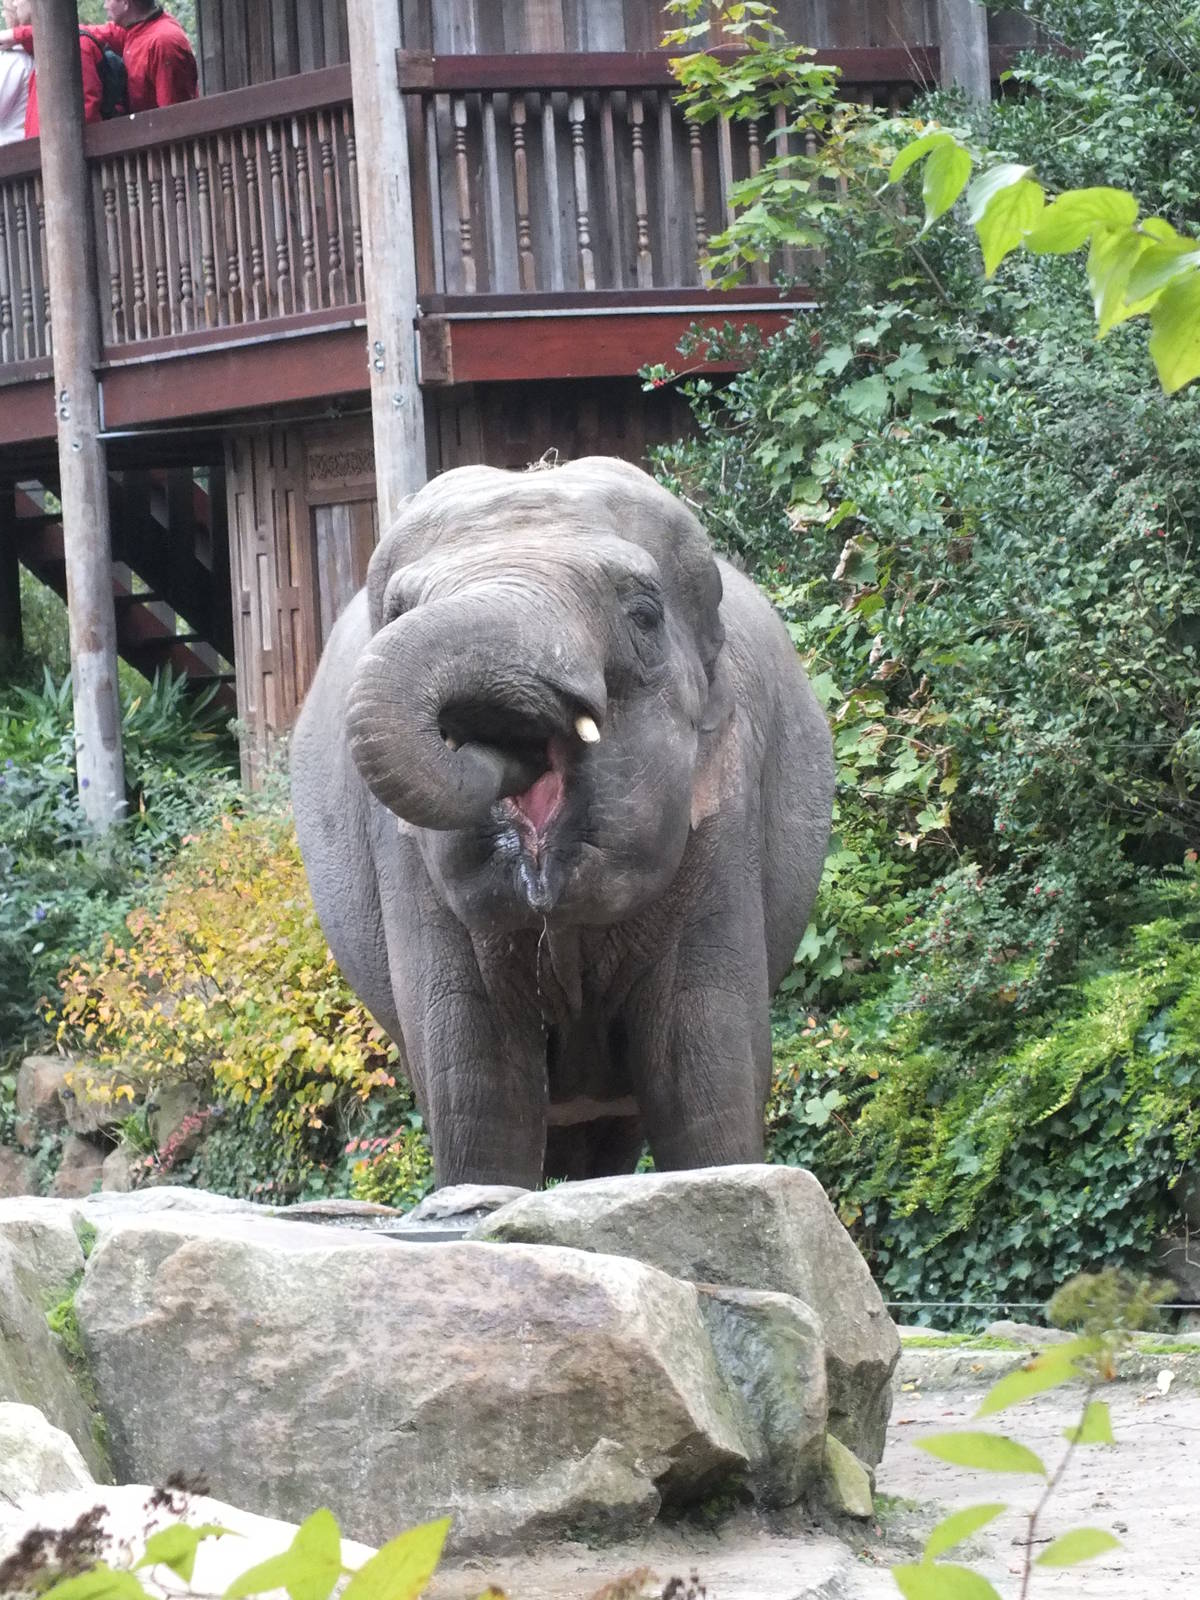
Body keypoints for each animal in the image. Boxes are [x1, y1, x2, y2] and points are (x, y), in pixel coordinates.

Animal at [291, 456, 834, 1188]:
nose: (498, 738)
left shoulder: (726, 810)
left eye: (643, 615)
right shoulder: (403, 865)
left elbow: (703, 1068)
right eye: (398, 613)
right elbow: (477, 1082)